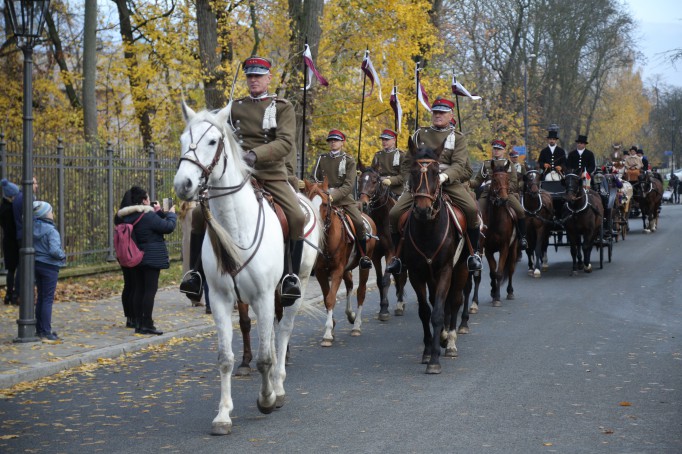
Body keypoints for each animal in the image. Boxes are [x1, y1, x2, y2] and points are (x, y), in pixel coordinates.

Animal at [170, 101, 318, 434]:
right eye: (183, 140)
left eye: (213, 142)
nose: (184, 184)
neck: (236, 225)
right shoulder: (221, 299)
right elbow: (225, 357)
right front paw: (223, 415)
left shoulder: (262, 296)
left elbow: (264, 358)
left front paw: (266, 399)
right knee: (272, 336)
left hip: (295, 287)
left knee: (283, 332)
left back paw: (278, 386)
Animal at [304, 178, 378, 348]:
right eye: (309, 201)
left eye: (325, 204)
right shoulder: (321, 272)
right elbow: (326, 299)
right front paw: (331, 327)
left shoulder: (337, 270)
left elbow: (331, 298)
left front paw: (327, 334)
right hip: (346, 268)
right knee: (350, 284)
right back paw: (350, 315)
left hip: (364, 266)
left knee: (361, 291)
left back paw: (356, 325)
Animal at [358, 166, 406, 320]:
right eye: (360, 180)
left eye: (374, 181)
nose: (364, 203)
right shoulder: (375, 256)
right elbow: (380, 281)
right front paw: (382, 307)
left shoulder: (390, 252)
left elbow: (386, 280)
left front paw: (384, 310)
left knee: (401, 276)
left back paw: (400, 304)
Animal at [404, 140, 468, 374]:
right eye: (413, 171)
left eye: (435, 172)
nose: (423, 210)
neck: (427, 230)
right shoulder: (416, 273)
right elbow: (425, 311)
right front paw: (427, 351)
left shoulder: (446, 271)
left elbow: (439, 312)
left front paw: (434, 359)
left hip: (462, 269)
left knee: (455, 301)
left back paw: (450, 342)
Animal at [480, 165, 516, 306]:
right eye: (494, 180)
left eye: (507, 179)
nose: (504, 199)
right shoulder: (488, 249)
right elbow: (492, 273)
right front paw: (494, 292)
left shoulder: (504, 247)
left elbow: (499, 272)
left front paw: (497, 297)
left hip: (514, 248)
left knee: (510, 268)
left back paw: (510, 291)